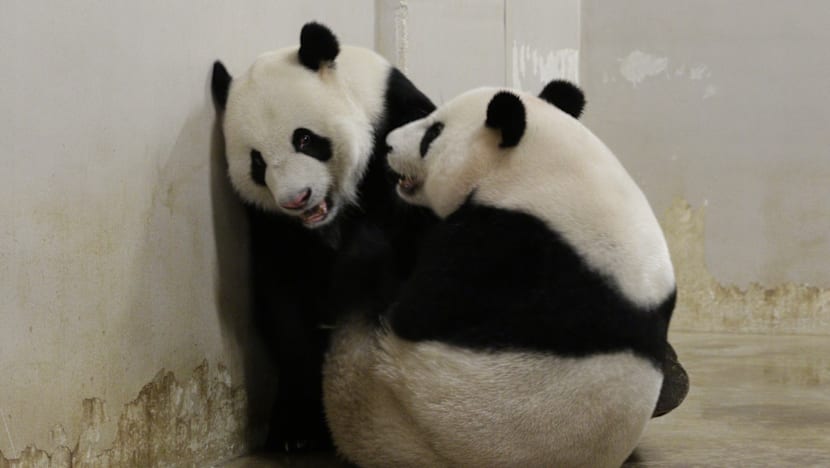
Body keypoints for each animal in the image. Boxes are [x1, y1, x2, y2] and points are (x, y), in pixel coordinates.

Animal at [211, 22, 436, 450]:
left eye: (304, 139)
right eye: (257, 161)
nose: (297, 198)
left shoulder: (400, 133)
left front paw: (351, 276)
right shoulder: (270, 222)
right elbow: (283, 299)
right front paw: (295, 428)